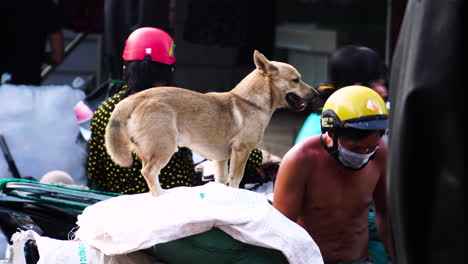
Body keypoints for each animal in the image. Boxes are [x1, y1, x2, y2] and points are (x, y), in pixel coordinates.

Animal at [106, 51, 318, 196]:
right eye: (296, 80)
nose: (317, 93)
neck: (250, 101)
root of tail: (135, 99)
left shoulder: (221, 159)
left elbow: (222, 180)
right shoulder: (241, 151)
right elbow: (236, 179)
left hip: (148, 150)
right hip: (164, 147)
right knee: (149, 172)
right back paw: (161, 195)